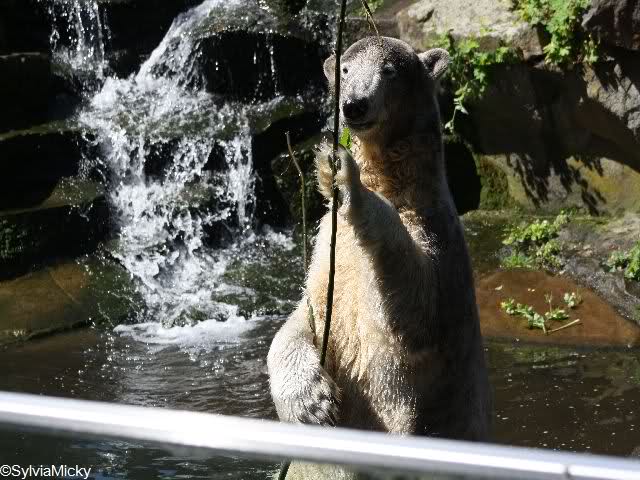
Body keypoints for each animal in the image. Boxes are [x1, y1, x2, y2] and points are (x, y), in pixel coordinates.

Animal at [267, 36, 490, 476]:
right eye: (346, 69)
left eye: (388, 70)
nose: (354, 104)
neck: (395, 181)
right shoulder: (327, 255)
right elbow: (302, 317)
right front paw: (312, 403)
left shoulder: (439, 238)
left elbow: (416, 304)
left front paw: (344, 177)